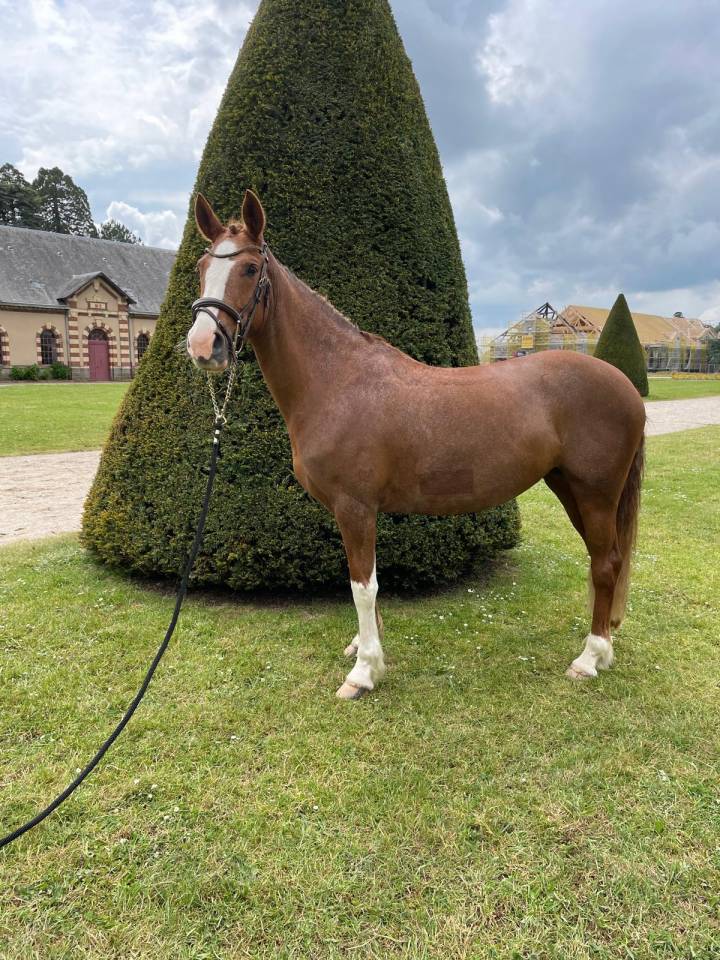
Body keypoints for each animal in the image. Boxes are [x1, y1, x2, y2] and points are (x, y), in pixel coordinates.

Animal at [186, 189, 646, 700]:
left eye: (249, 268)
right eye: (202, 267)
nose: (203, 346)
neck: (338, 381)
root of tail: (624, 385)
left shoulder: (355, 507)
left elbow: (361, 586)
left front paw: (364, 672)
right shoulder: (358, 510)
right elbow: (366, 585)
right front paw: (364, 648)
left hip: (596, 494)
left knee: (605, 564)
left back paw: (588, 659)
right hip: (569, 488)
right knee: (606, 561)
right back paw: (602, 649)